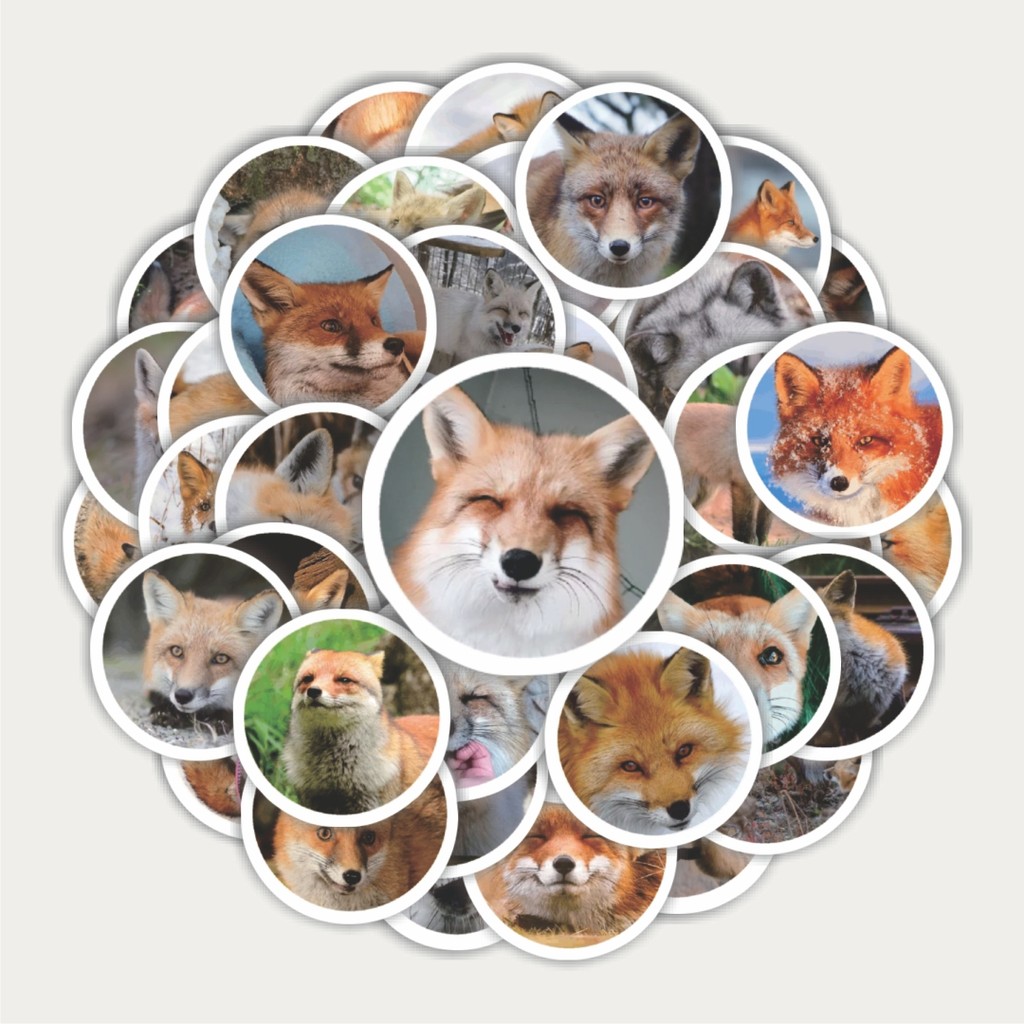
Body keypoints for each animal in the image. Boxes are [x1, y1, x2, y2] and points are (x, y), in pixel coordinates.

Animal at [677, 403, 773, 545]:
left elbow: (764, 526)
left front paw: (763, 544)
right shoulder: (743, 484)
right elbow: (744, 526)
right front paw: (748, 543)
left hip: (705, 494)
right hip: (690, 490)